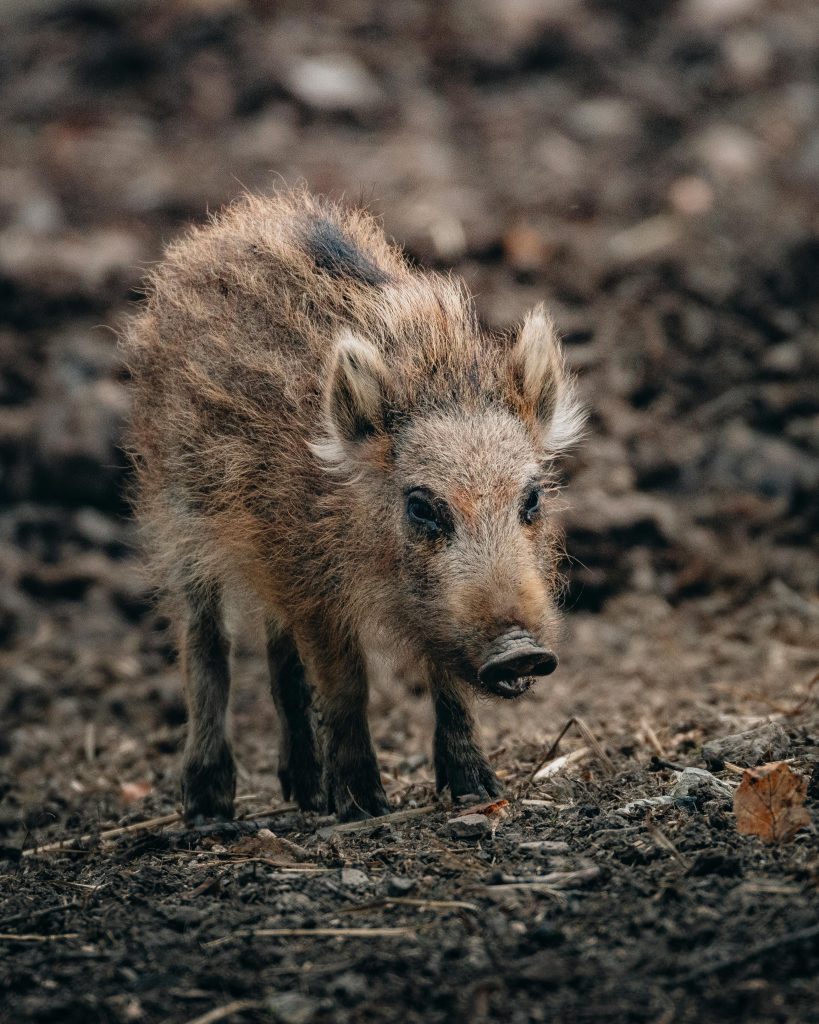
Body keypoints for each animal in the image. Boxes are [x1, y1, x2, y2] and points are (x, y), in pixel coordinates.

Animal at [122, 188, 584, 823]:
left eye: (532, 497)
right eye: (421, 506)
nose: (520, 652)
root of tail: (225, 226)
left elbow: (447, 684)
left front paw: (478, 789)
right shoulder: (313, 586)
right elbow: (346, 683)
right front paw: (365, 805)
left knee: (279, 657)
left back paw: (305, 792)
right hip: (176, 516)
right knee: (205, 642)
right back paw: (209, 806)